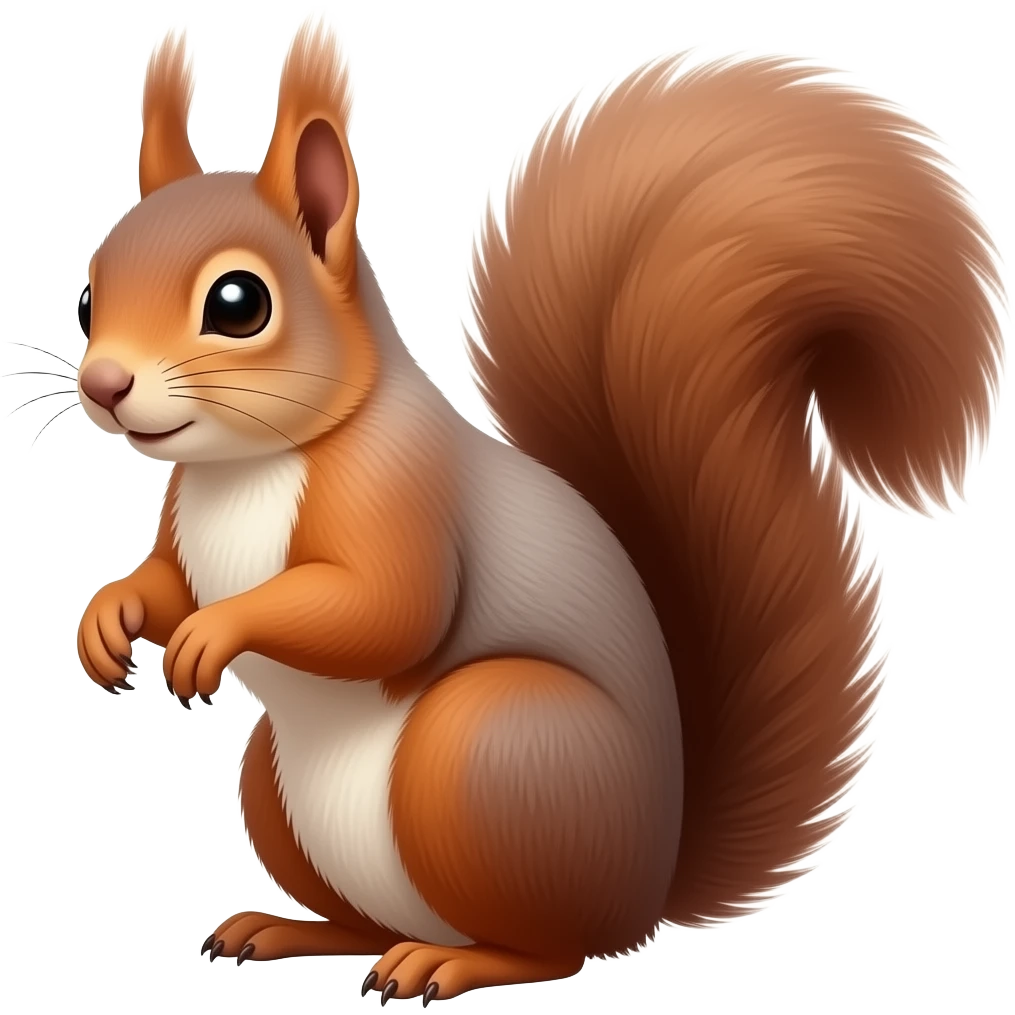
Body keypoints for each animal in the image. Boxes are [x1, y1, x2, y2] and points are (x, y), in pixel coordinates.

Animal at [74, 12, 1007, 1003]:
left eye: (239, 302)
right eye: (90, 293)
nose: (104, 384)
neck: (244, 468)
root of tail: (648, 886)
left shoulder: (400, 494)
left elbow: (385, 610)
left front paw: (216, 630)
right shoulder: (184, 524)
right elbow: (166, 584)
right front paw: (108, 619)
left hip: (487, 750)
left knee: (553, 946)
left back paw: (452, 960)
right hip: (279, 784)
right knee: (368, 922)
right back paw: (291, 928)